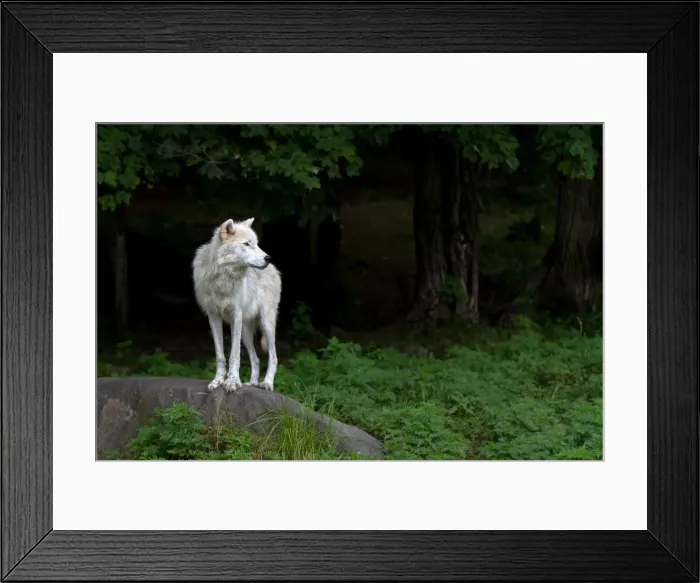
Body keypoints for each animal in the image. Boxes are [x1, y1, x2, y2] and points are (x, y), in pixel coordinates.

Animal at [192, 217, 281, 392]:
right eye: (246, 244)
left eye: (256, 244)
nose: (268, 258)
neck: (223, 279)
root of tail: (274, 269)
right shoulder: (213, 317)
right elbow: (220, 355)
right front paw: (218, 381)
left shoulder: (236, 315)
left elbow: (234, 355)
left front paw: (232, 382)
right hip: (246, 333)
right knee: (256, 358)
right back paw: (252, 383)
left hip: (265, 324)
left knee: (273, 357)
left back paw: (267, 383)